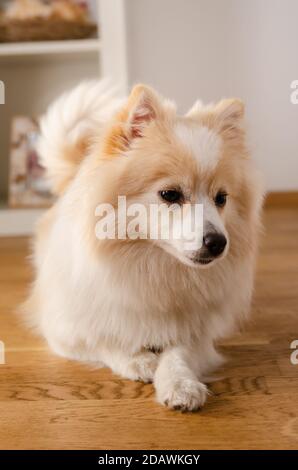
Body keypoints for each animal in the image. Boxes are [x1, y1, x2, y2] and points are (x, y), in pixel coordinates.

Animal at [25, 81, 264, 412]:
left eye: (221, 199)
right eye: (170, 194)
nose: (218, 242)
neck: (151, 268)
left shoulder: (198, 334)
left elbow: (178, 353)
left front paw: (180, 385)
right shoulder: (65, 332)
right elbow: (104, 340)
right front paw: (139, 361)